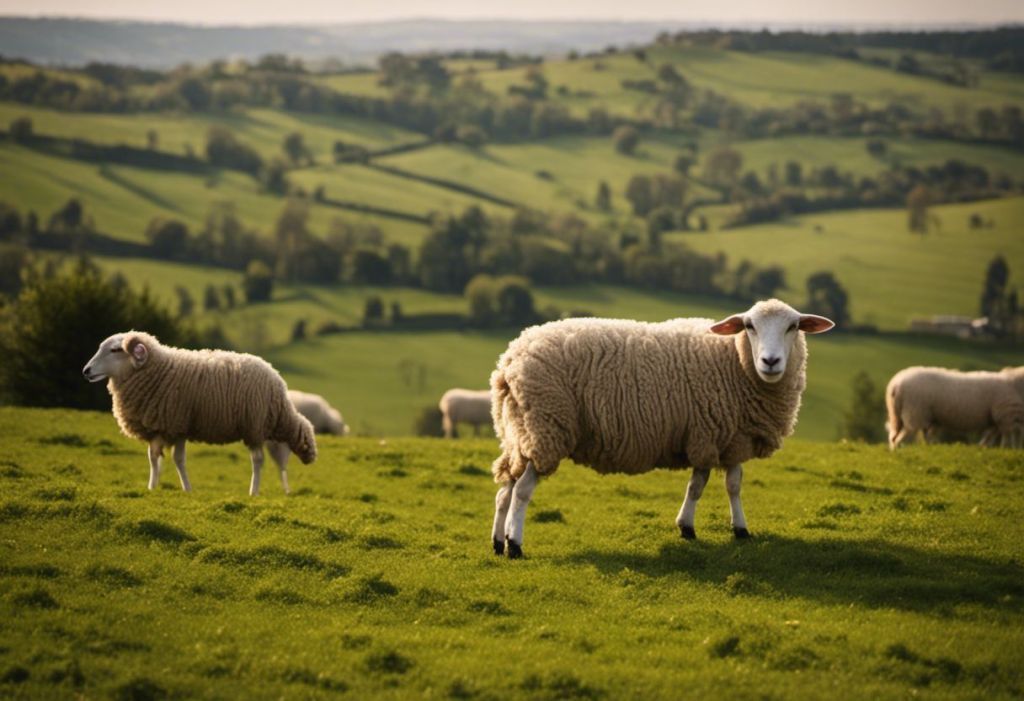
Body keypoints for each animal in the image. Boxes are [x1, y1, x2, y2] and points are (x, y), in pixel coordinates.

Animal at [82, 331, 315, 495]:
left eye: (115, 350)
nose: (86, 371)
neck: (158, 370)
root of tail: (275, 376)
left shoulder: (178, 424)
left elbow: (178, 460)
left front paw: (187, 489)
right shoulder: (159, 426)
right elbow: (153, 458)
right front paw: (152, 487)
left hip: (254, 425)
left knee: (258, 460)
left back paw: (253, 492)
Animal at [485, 298, 831, 556]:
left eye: (793, 326)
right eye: (749, 326)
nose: (770, 362)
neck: (734, 361)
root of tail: (509, 361)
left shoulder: (720, 436)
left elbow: (716, 485)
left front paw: (715, 528)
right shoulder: (718, 435)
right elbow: (714, 486)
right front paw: (712, 528)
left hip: (519, 434)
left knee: (505, 490)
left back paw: (498, 542)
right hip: (546, 427)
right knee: (522, 491)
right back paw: (515, 545)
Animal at [888, 366, 1024, 448]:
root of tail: (896, 385)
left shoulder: (998, 420)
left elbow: (991, 436)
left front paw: (984, 447)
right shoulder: (1007, 417)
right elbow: (1009, 437)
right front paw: (1008, 450)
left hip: (901, 414)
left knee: (897, 436)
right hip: (915, 411)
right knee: (906, 434)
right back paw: (900, 449)